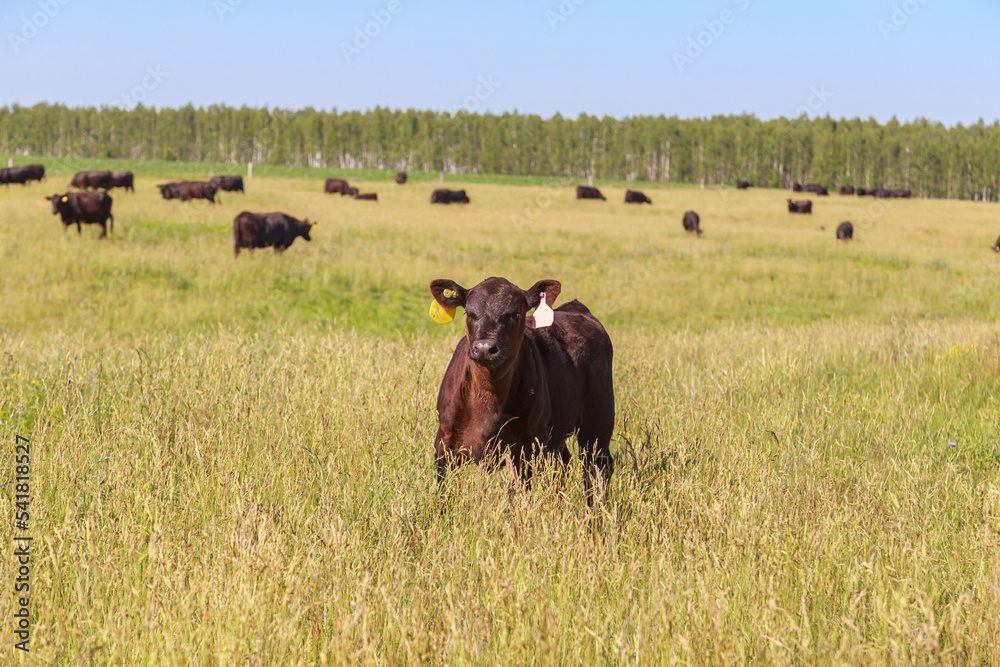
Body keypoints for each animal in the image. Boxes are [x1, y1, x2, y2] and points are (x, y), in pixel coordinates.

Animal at [429, 276, 615, 504]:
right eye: (469, 314)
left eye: (515, 314)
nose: (484, 348)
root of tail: (577, 308)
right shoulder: (444, 442)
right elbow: (442, 494)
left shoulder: (528, 447)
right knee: (564, 463)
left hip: (598, 421)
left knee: (598, 466)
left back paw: (596, 509)